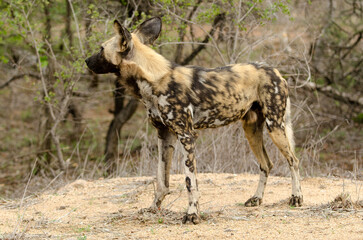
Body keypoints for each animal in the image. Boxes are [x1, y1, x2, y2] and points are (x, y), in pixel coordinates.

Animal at [86, 17, 304, 225]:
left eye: (101, 49)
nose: (86, 60)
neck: (153, 80)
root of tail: (276, 71)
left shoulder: (186, 135)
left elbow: (190, 181)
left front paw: (192, 214)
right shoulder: (164, 136)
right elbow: (161, 180)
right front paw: (154, 208)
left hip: (274, 127)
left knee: (293, 160)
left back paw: (296, 197)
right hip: (251, 131)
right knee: (266, 164)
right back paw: (257, 198)